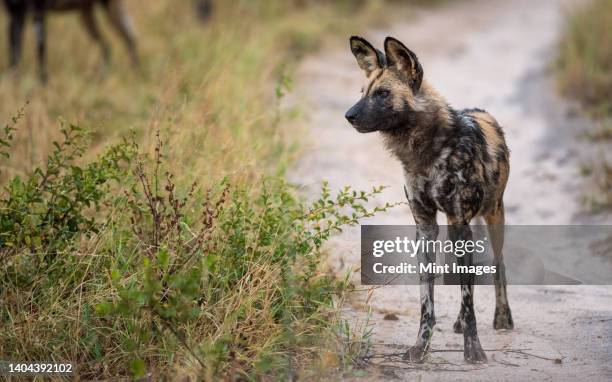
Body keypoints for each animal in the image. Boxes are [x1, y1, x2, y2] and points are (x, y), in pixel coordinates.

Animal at [2, 0, 137, 81]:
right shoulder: (14, 14)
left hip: (109, 9)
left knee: (130, 39)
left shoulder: (38, 12)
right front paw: (14, 84)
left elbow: (41, 52)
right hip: (85, 15)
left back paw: (134, 74)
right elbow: (14, 57)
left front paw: (43, 83)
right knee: (108, 45)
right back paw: (101, 77)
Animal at [344, 35, 512, 364]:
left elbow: (469, 299)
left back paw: (503, 317)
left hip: (492, 216)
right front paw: (420, 347)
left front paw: (474, 350)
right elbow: (428, 301)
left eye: (383, 94)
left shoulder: (460, 223)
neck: (428, 150)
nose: (349, 116)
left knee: (498, 264)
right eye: (362, 93)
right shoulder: (426, 228)